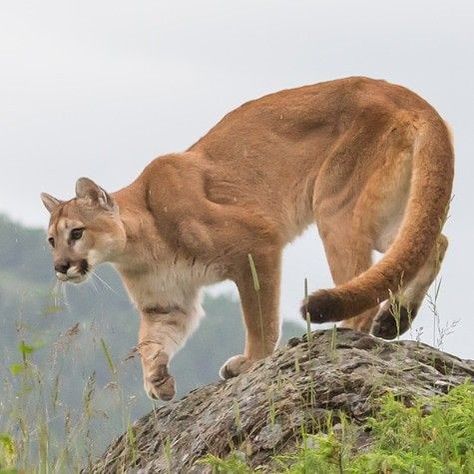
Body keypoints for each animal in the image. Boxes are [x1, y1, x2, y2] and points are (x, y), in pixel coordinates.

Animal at [42, 78, 454, 400]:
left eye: (76, 232)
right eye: (50, 240)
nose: (60, 267)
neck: (139, 245)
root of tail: (405, 93)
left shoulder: (257, 244)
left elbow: (260, 317)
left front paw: (252, 362)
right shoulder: (167, 304)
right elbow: (150, 341)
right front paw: (157, 381)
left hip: (335, 207)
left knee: (369, 281)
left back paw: (347, 333)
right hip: (384, 215)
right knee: (433, 243)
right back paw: (394, 320)